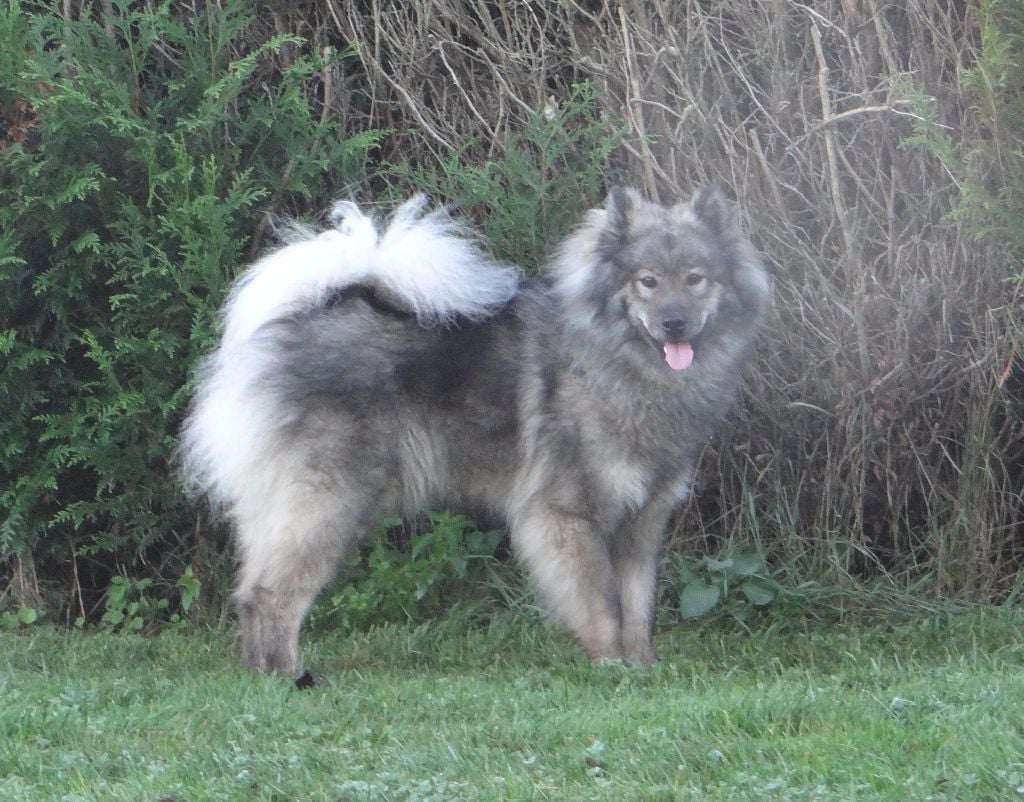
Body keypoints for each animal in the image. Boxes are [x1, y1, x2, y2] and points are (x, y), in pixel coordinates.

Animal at [184, 188, 770, 676]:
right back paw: (289, 677)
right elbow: (602, 604)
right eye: (646, 281)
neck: (615, 365)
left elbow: (639, 607)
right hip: (331, 499)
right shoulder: (566, 515)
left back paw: (259, 673)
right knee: (272, 593)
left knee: (249, 589)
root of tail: (292, 326)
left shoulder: (643, 522)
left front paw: (643, 667)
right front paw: (610, 666)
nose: (674, 323)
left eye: (695, 278)